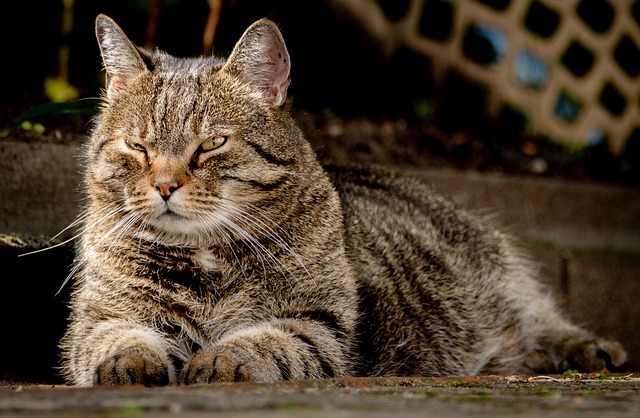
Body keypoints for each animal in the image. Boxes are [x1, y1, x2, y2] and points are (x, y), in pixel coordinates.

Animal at [57, 13, 628, 386]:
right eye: (138, 146)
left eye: (212, 143)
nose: (164, 186)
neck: (206, 258)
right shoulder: (99, 319)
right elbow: (118, 341)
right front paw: (132, 363)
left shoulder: (322, 325)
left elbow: (269, 342)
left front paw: (221, 358)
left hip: (498, 280)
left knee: (538, 313)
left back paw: (589, 350)